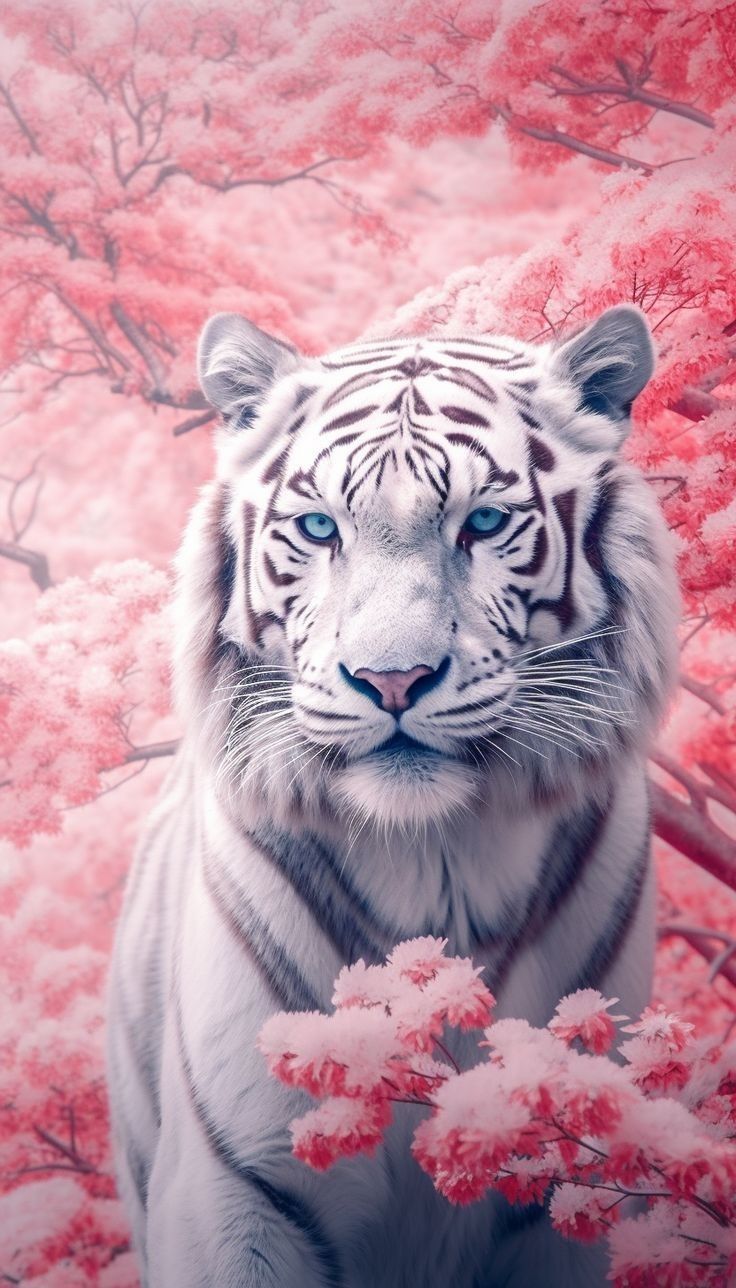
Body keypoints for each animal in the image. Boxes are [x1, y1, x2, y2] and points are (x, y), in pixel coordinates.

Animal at [107, 304, 679, 1288]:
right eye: (318, 527)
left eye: (483, 523)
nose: (392, 680)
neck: (436, 865)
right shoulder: (234, 1187)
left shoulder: (569, 1189)